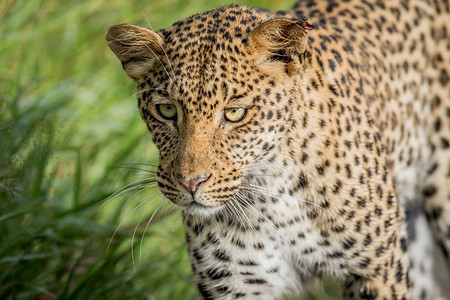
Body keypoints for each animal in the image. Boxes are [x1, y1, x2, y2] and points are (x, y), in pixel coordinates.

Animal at [106, 1, 450, 298]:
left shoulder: (377, 272)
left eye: (234, 113)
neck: (272, 193)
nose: (190, 183)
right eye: (166, 110)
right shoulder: (236, 283)